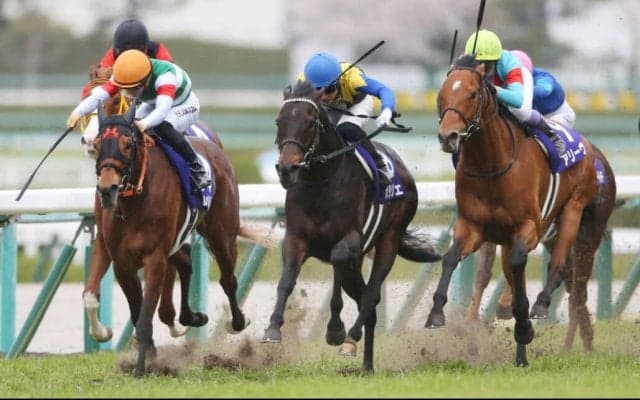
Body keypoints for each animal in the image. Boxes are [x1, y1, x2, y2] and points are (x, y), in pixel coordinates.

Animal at [90, 98, 268, 377]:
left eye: (127, 144)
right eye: (96, 144)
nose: (108, 189)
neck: (135, 201)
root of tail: (214, 146)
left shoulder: (154, 257)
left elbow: (144, 319)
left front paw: (141, 369)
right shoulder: (122, 262)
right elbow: (134, 312)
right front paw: (148, 356)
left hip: (221, 234)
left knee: (228, 279)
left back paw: (237, 321)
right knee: (185, 263)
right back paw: (191, 317)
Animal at [261, 80, 441, 373]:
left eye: (310, 123)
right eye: (279, 121)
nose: (287, 169)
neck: (320, 181)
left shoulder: (350, 240)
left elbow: (337, 260)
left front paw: (335, 330)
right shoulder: (296, 239)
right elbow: (286, 281)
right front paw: (273, 329)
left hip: (389, 239)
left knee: (371, 295)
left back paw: (350, 340)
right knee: (367, 300)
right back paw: (366, 364)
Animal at [427, 54, 616, 366]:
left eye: (473, 94)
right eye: (441, 95)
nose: (448, 136)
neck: (491, 164)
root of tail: (592, 149)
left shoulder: (528, 227)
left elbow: (517, 271)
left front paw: (523, 325)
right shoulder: (473, 228)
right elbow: (451, 259)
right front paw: (437, 313)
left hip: (578, 217)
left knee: (567, 274)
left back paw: (548, 313)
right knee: (571, 287)